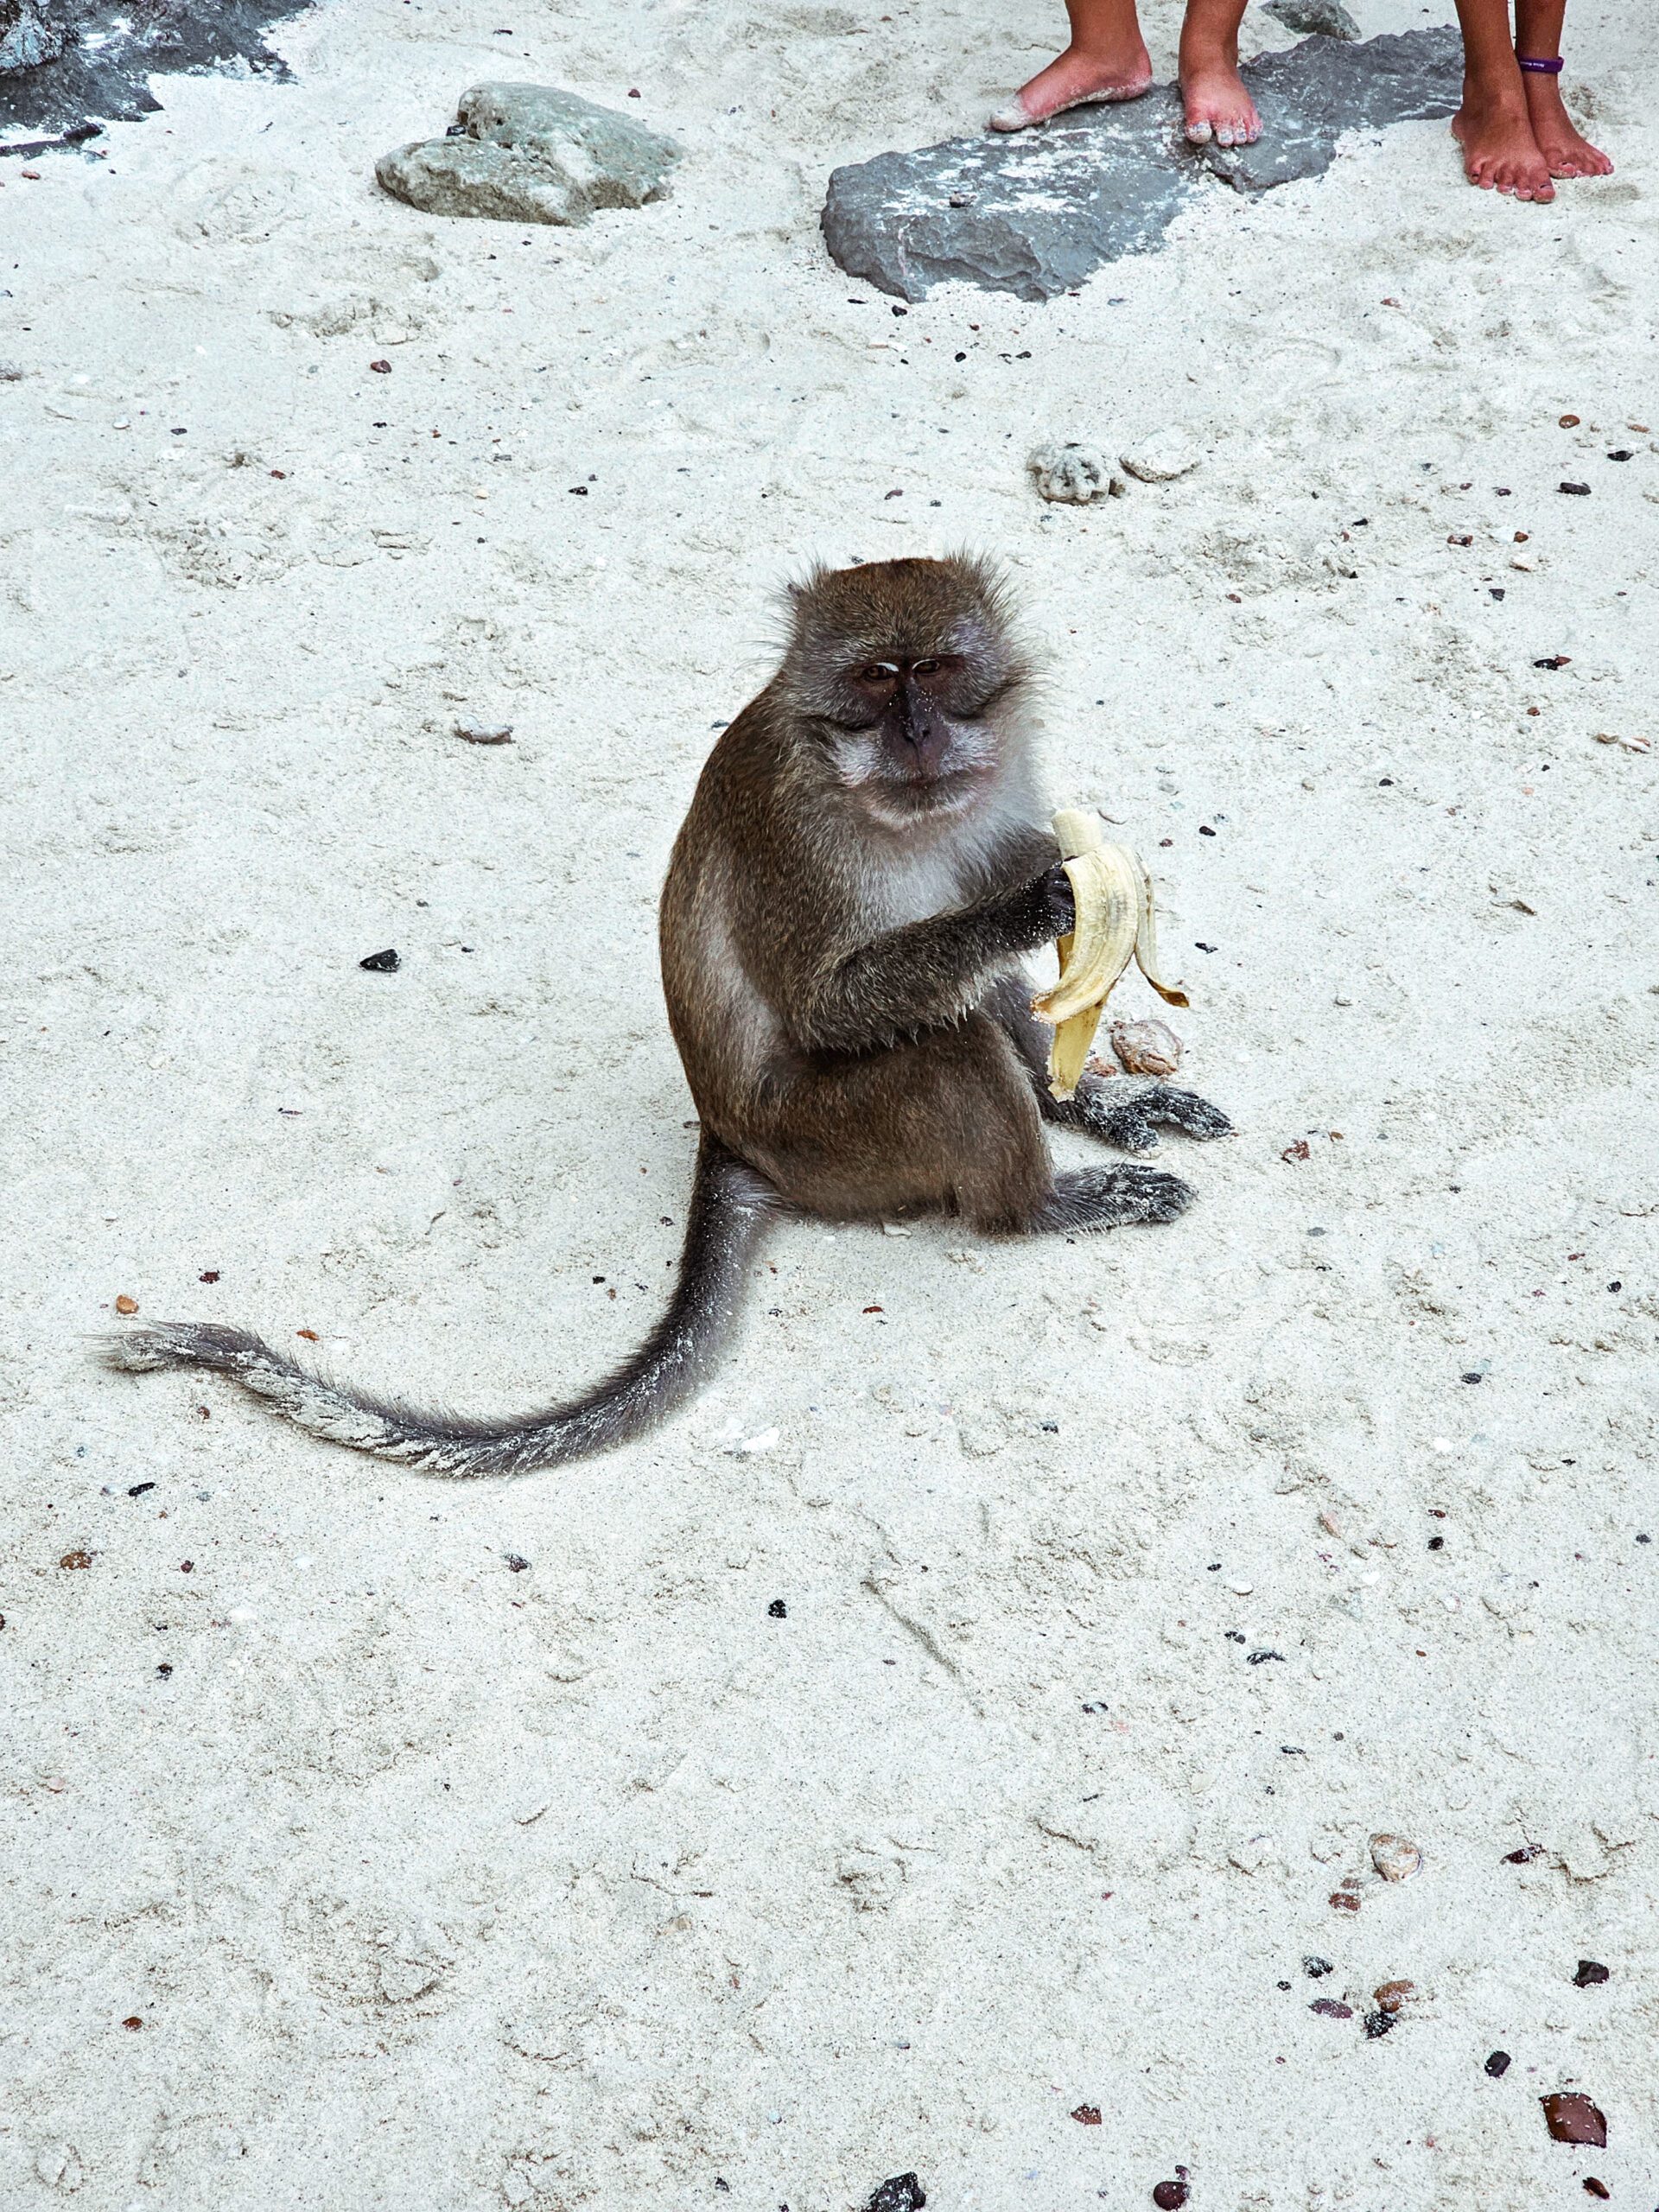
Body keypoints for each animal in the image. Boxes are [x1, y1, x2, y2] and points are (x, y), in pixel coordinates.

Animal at [100, 562, 1221, 1478]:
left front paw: (1091, 1095)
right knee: (948, 1050)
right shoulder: (799, 832)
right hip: (830, 1139)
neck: (884, 800)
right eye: (874, 679)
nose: (919, 732)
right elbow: (839, 1001)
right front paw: (1032, 904)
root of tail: (730, 1139)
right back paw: (1037, 1207)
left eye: (938, 669)